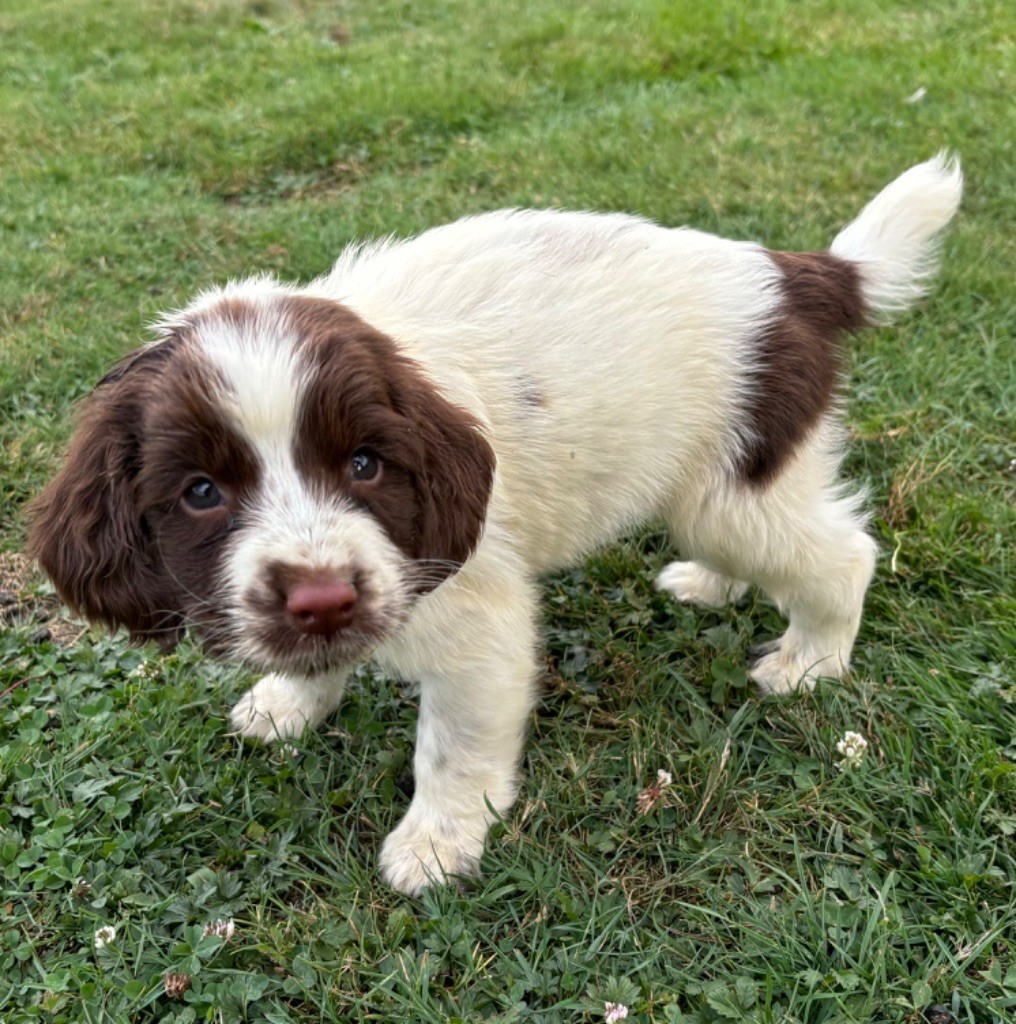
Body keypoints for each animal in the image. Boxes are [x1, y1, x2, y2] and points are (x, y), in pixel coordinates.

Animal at [25, 155, 958, 892]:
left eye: (364, 466)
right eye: (200, 493)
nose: (322, 599)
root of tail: (793, 273)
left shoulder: (473, 618)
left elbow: (451, 746)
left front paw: (436, 844)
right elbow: (320, 657)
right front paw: (292, 701)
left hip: (734, 489)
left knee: (841, 556)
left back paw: (811, 661)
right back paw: (710, 586)